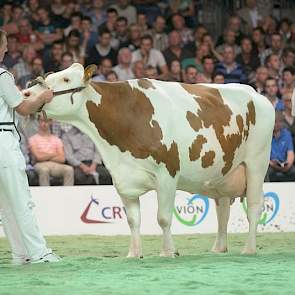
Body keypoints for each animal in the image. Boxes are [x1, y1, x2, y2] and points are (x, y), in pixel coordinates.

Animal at [25, 63, 276, 258]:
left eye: (66, 78)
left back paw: (249, 249)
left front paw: (168, 252)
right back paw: (218, 248)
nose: (27, 93)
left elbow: (163, 218)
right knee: (222, 210)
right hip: (222, 174)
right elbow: (133, 220)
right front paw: (134, 254)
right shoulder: (123, 179)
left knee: (254, 207)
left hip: (257, 162)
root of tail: (256, 93)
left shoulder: (167, 173)